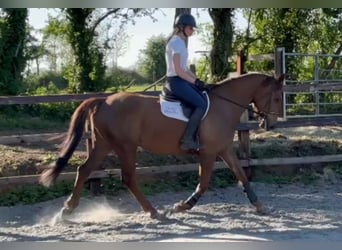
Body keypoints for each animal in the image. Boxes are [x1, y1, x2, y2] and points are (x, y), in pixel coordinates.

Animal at [40, 72, 284, 219]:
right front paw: (183, 205)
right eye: (277, 97)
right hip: (126, 147)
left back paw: (67, 210)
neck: (223, 105)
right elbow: (204, 183)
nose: (270, 124)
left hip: (103, 145)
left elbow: (241, 174)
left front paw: (258, 205)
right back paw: (153, 211)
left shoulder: (223, 149)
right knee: (128, 178)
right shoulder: (208, 153)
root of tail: (104, 101)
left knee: (84, 171)